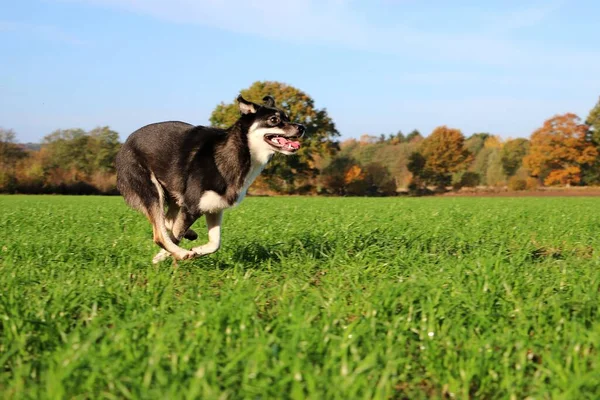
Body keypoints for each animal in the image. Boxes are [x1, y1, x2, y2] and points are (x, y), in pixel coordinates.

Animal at [116, 95, 304, 264]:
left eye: (287, 117)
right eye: (274, 119)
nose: (302, 127)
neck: (239, 153)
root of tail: (124, 145)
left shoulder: (214, 209)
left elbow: (215, 243)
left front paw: (197, 250)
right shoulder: (191, 207)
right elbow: (175, 237)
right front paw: (165, 257)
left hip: (173, 196)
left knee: (167, 222)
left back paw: (189, 236)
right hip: (153, 192)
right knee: (160, 235)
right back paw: (180, 252)